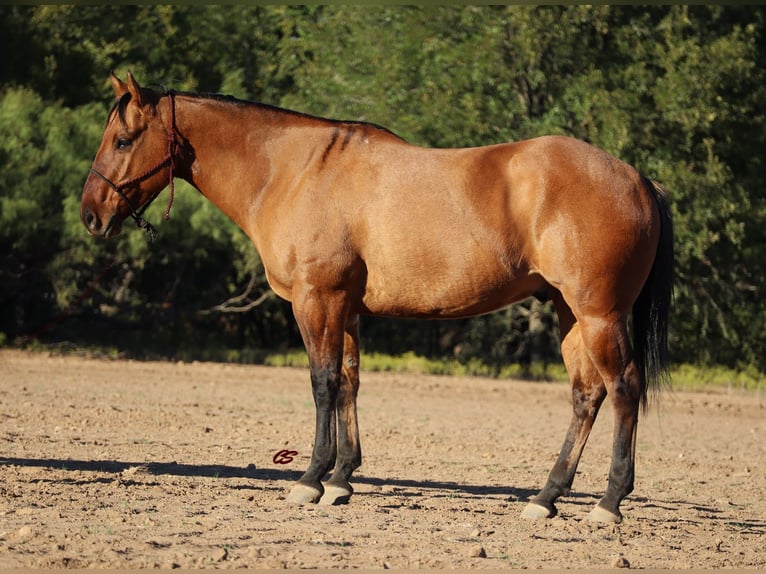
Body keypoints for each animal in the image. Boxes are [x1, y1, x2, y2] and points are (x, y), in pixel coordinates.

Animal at [81, 73, 676, 528]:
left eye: (123, 140)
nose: (91, 215)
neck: (294, 171)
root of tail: (637, 178)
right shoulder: (345, 309)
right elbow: (348, 382)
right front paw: (342, 479)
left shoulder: (316, 301)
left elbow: (322, 383)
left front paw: (310, 479)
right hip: (567, 311)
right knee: (586, 395)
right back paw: (546, 498)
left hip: (598, 314)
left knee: (624, 389)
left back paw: (608, 503)